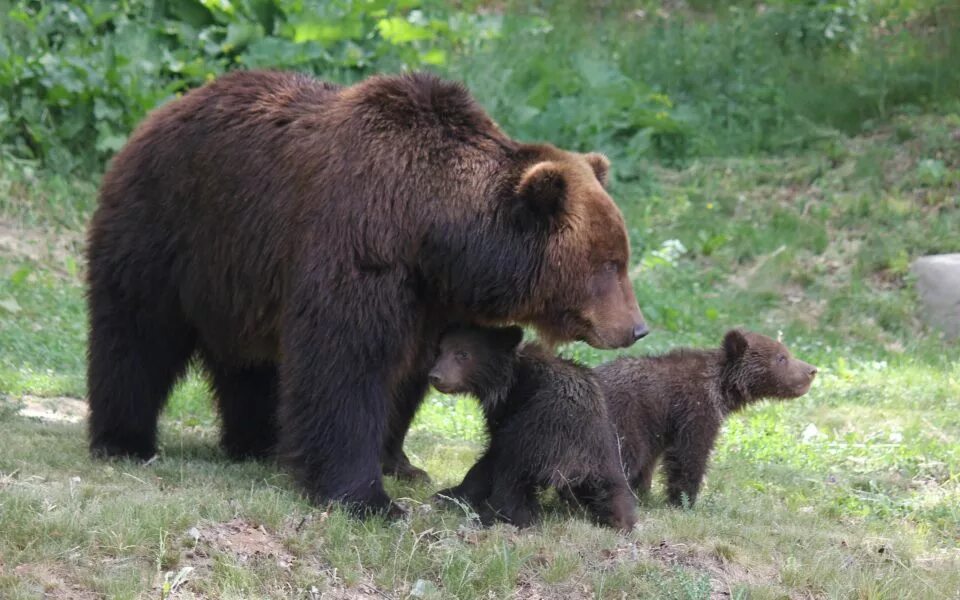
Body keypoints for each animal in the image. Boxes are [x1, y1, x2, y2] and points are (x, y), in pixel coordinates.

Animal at [86, 69, 648, 510]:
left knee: (247, 361)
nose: (637, 328)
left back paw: (258, 440)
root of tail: (163, 109)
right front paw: (366, 496)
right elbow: (346, 364)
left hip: (239, 276)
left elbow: (409, 373)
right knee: (136, 335)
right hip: (170, 228)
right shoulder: (361, 245)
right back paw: (124, 439)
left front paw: (400, 462)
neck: (433, 232)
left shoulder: (430, 297)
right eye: (610, 264)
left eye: (622, 255)